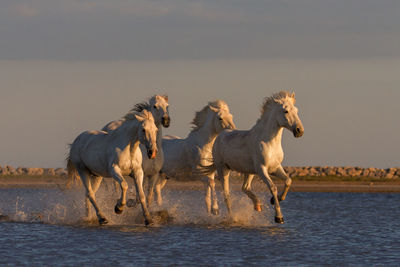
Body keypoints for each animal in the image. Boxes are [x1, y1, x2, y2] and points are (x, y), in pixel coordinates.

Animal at [202, 92, 304, 224]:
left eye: (296, 110)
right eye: (285, 111)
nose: (299, 131)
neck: (268, 142)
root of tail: (221, 135)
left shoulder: (275, 168)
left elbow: (288, 180)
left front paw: (273, 200)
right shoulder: (262, 169)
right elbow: (273, 187)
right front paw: (279, 217)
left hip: (249, 171)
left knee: (245, 187)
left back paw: (257, 205)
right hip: (223, 169)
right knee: (227, 195)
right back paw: (233, 217)